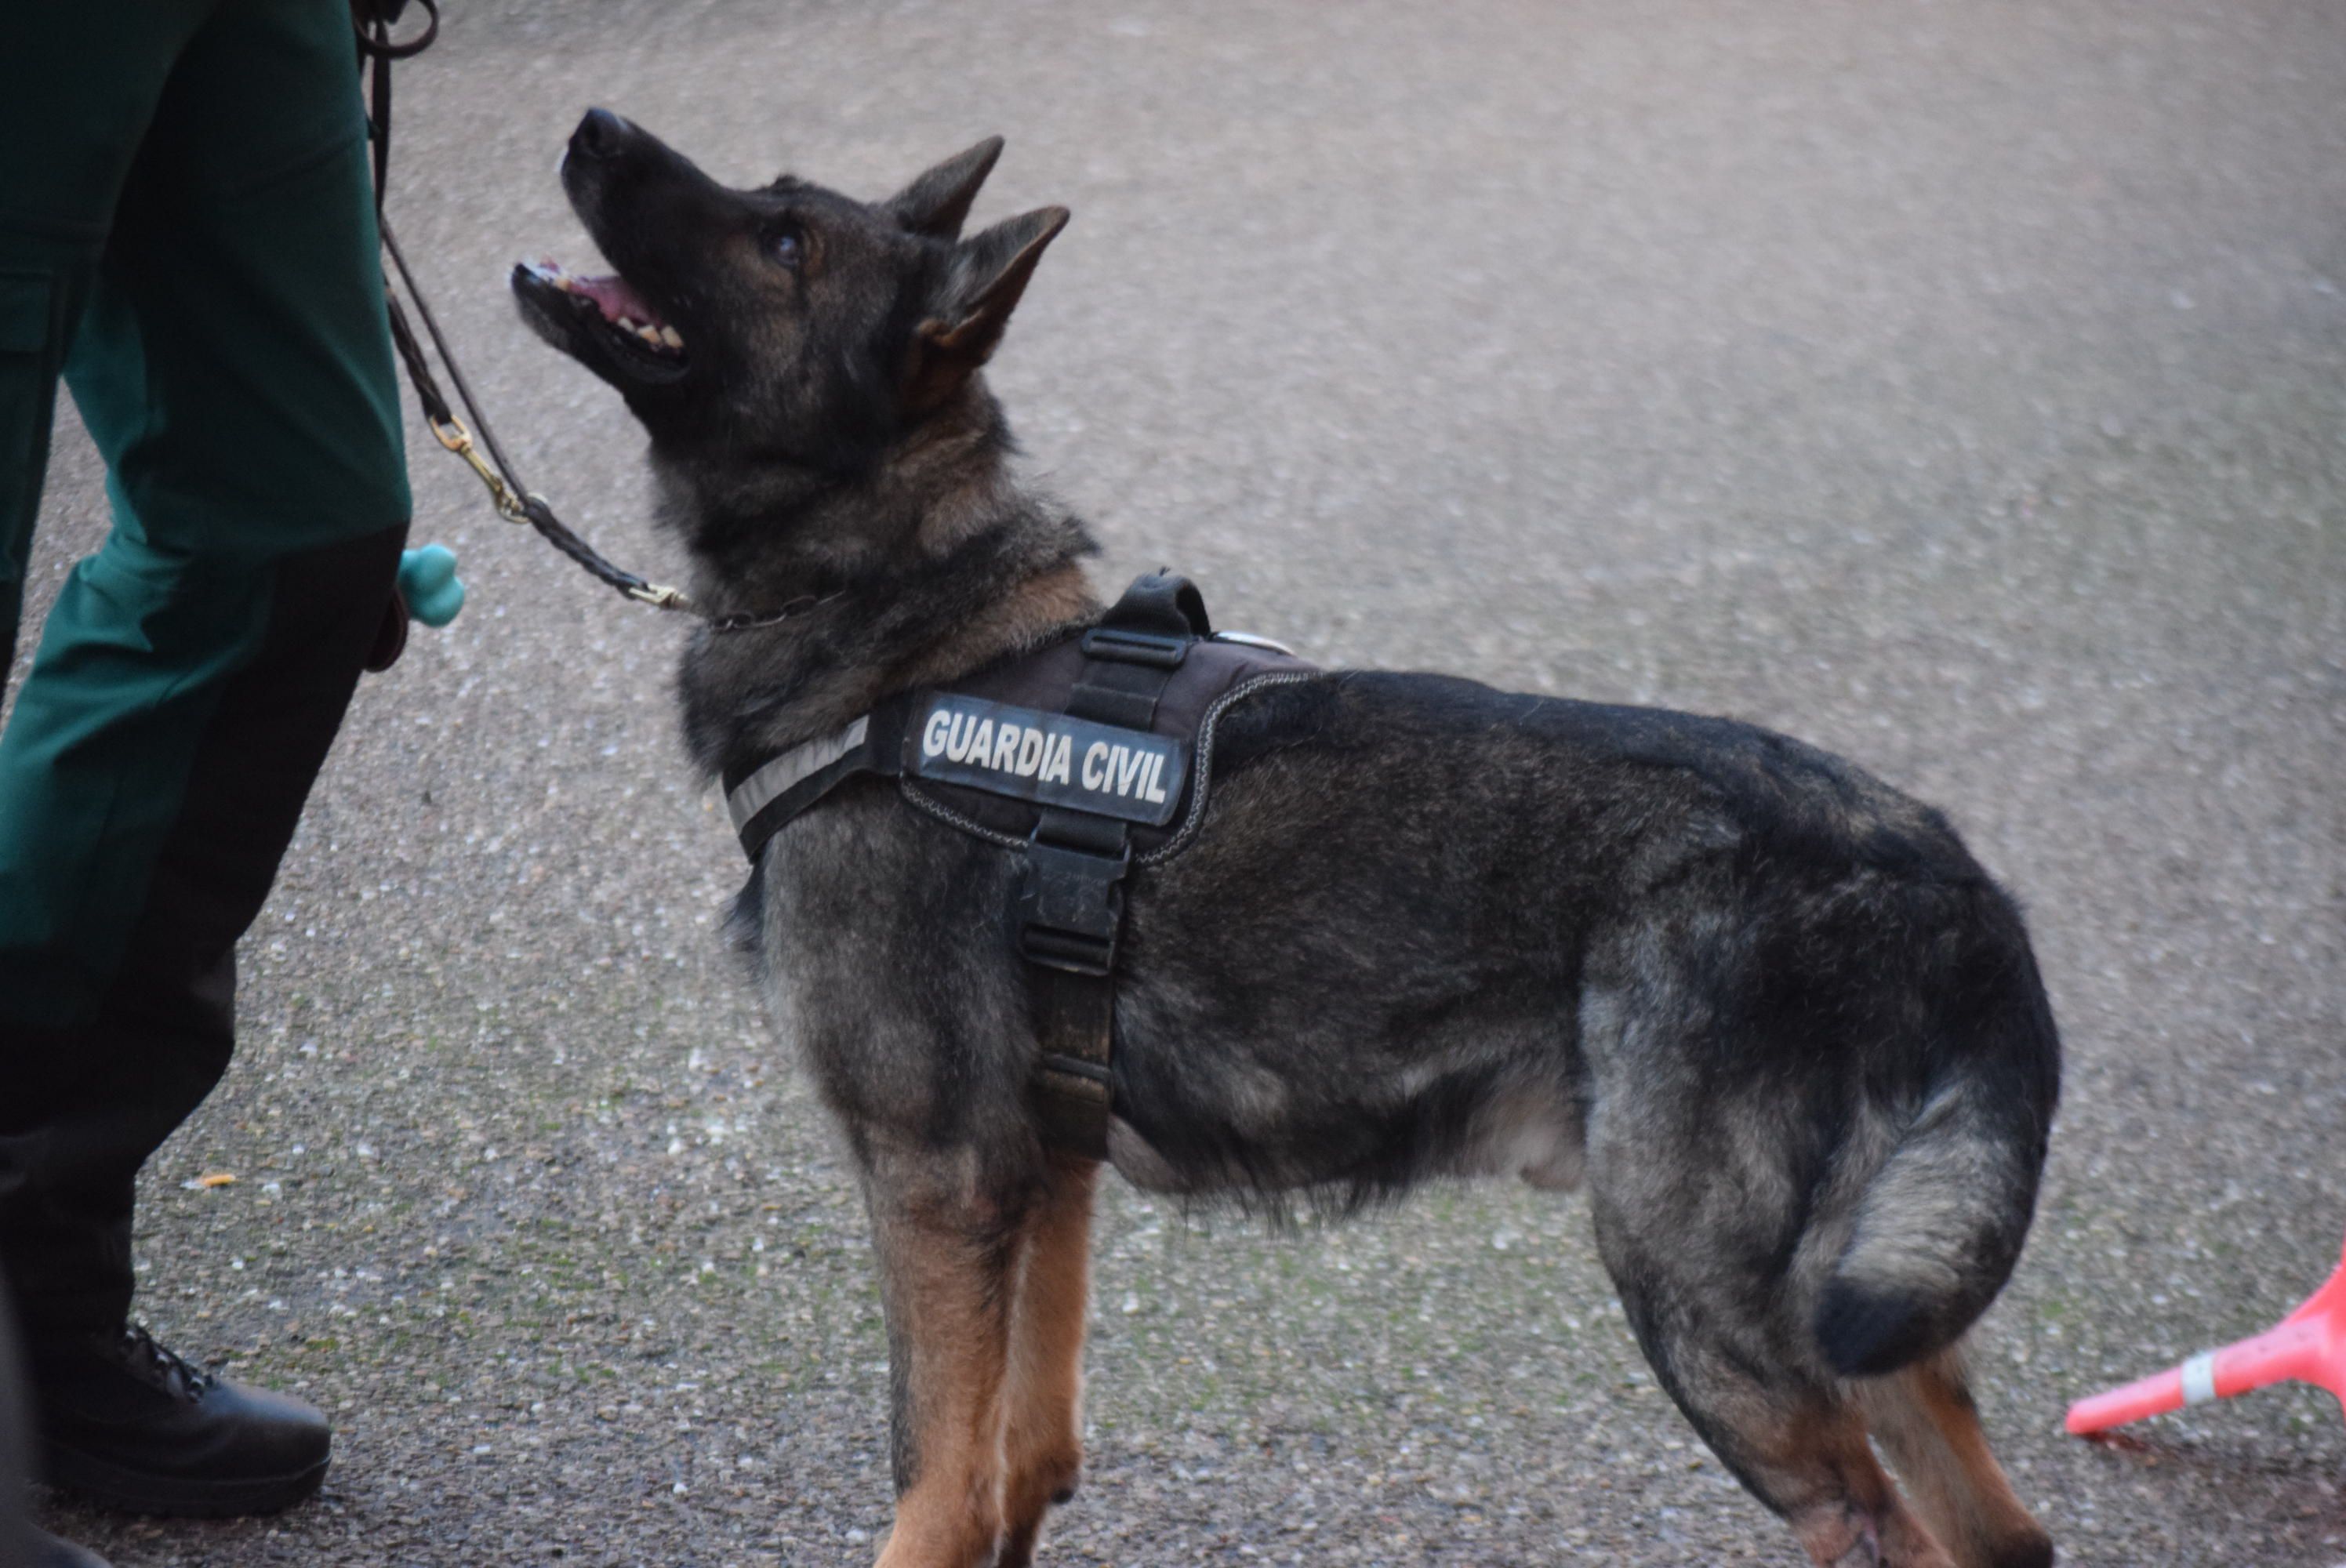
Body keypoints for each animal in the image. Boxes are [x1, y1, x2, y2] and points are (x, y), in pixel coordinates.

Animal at [514, 113, 2054, 1567]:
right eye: (770, 203)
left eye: (784, 243)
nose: (592, 127)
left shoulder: (934, 1185)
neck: (914, 637)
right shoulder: (1045, 1181)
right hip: (1864, 1322)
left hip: (1710, 1316)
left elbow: (933, 1488)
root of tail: (1945, 874)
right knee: (2006, 1536)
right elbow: (1025, 1457)